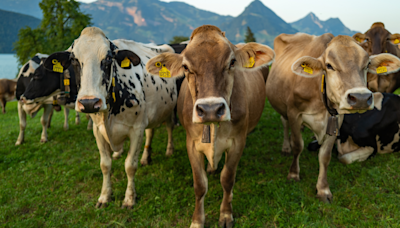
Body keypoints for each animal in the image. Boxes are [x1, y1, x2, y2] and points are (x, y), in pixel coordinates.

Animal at [44, 27, 183, 208]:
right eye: (74, 59)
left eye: (109, 58)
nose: (89, 102)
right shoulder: (97, 130)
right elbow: (105, 165)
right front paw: (104, 196)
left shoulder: (136, 129)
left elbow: (130, 165)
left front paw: (129, 199)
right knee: (150, 132)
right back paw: (145, 157)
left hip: (170, 107)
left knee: (169, 127)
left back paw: (169, 150)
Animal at [146, 25, 276, 228]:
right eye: (186, 67)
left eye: (232, 62)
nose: (210, 109)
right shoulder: (191, 144)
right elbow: (200, 185)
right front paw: (197, 220)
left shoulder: (238, 142)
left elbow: (227, 179)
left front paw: (226, 215)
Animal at [266, 32, 400, 203]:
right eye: (329, 65)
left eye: (367, 64)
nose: (361, 98)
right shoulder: (294, 113)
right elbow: (298, 145)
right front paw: (293, 174)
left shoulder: (336, 120)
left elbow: (325, 156)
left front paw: (323, 189)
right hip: (281, 105)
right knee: (284, 124)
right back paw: (285, 147)